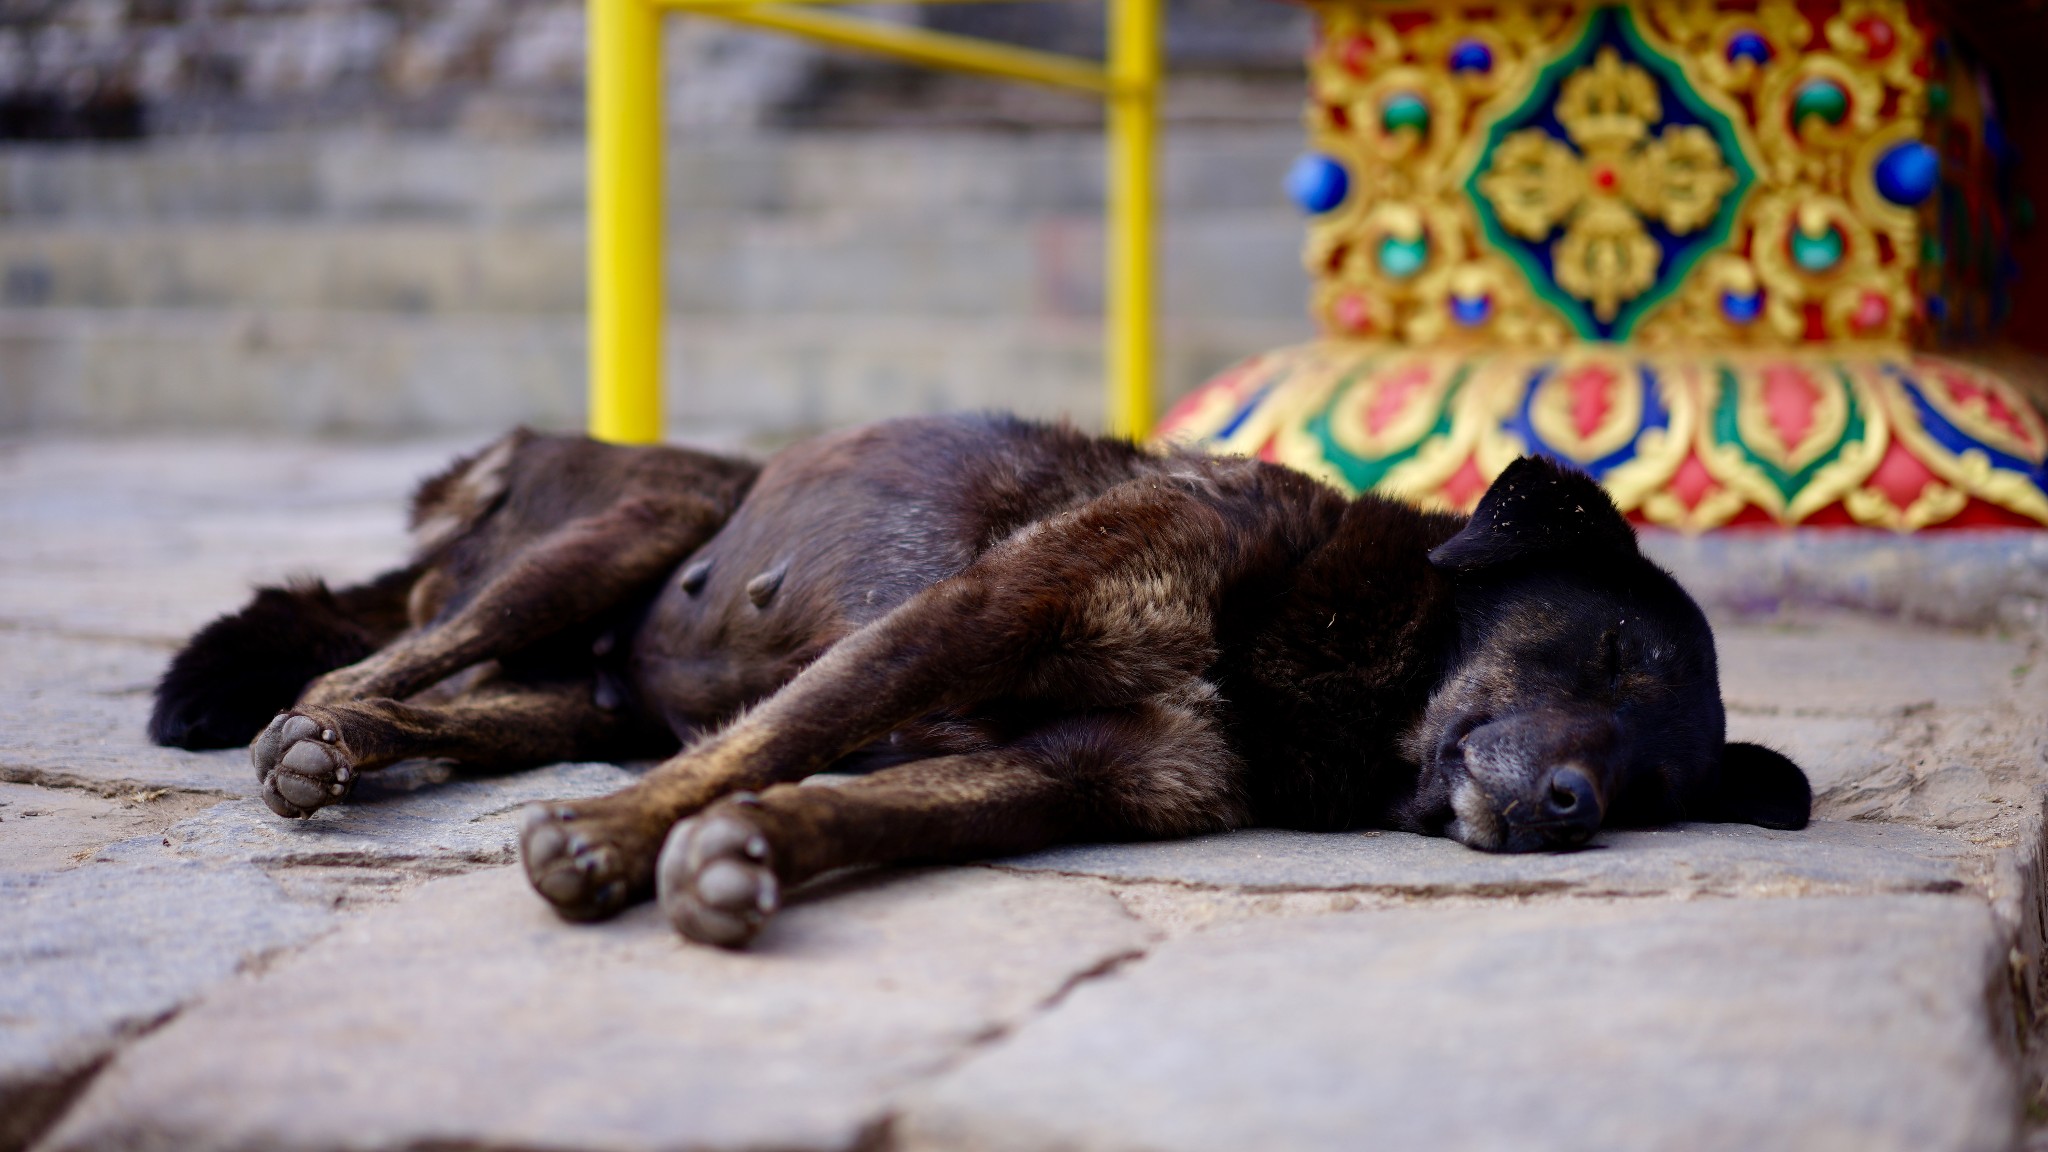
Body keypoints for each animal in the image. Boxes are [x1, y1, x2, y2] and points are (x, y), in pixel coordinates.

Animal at [148, 412, 1810, 942]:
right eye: (1609, 649)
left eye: (1658, 784)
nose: (1576, 805)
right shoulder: (988, 610)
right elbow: (792, 730)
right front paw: (614, 847)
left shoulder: (1080, 777)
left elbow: (854, 800)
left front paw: (745, 859)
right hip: (622, 530)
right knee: (398, 638)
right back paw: (322, 729)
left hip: (589, 694)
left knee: (486, 703)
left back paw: (359, 747)